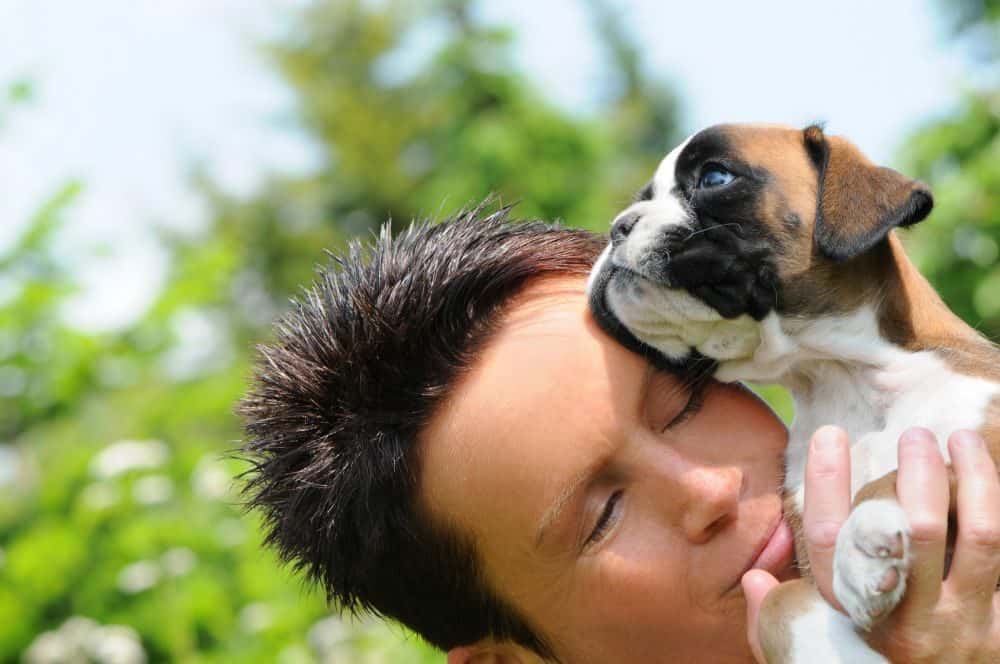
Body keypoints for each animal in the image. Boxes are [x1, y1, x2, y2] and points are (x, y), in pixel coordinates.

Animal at [584, 122, 1000, 660]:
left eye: (715, 177)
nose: (617, 226)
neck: (841, 377)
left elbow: (887, 477)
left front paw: (863, 539)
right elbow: (780, 602)